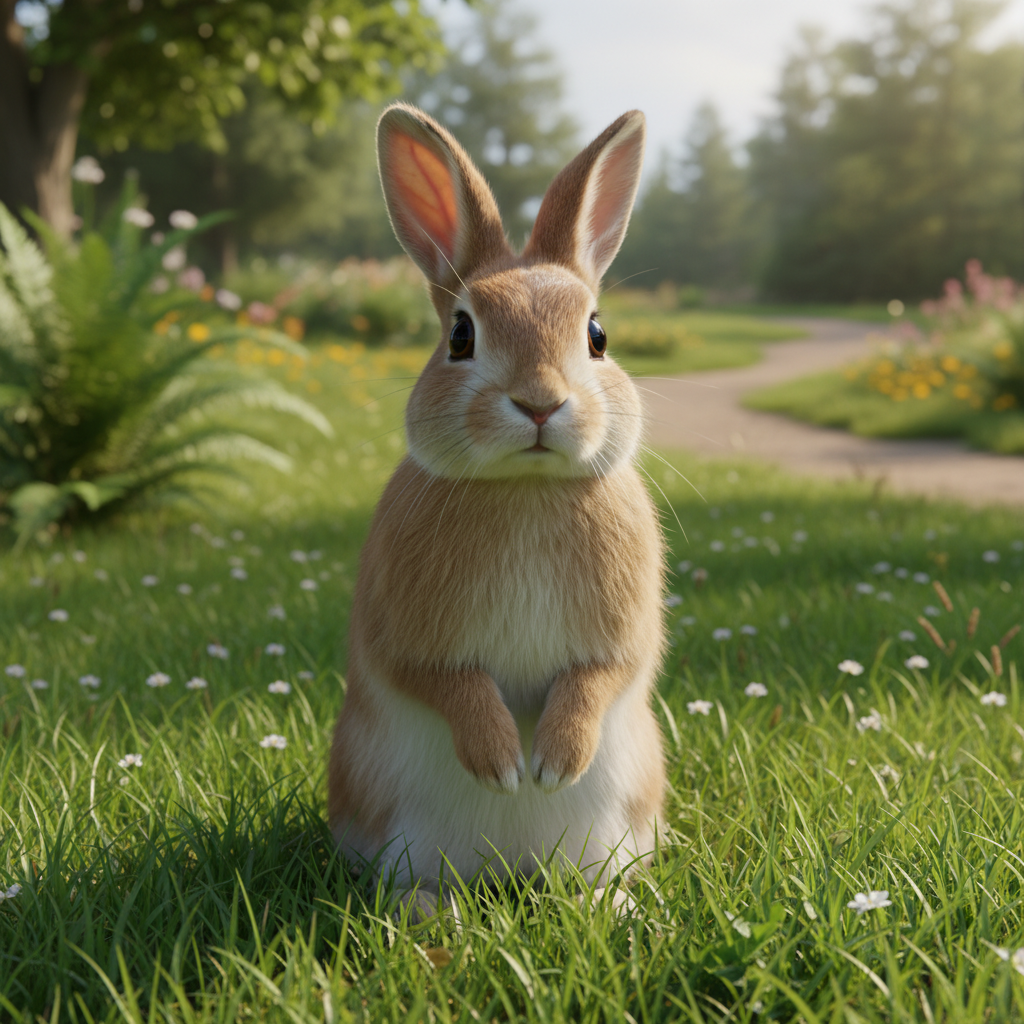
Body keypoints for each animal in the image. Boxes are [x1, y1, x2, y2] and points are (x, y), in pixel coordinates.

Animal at [327, 103, 667, 900]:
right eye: (460, 334)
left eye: (598, 335)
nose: (540, 403)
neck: (525, 488)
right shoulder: (403, 633)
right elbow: (444, 680)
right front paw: (503, 764)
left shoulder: (624, 633)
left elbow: (601, 675)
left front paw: (555, 761)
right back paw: (434, 912)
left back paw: (608, 905)